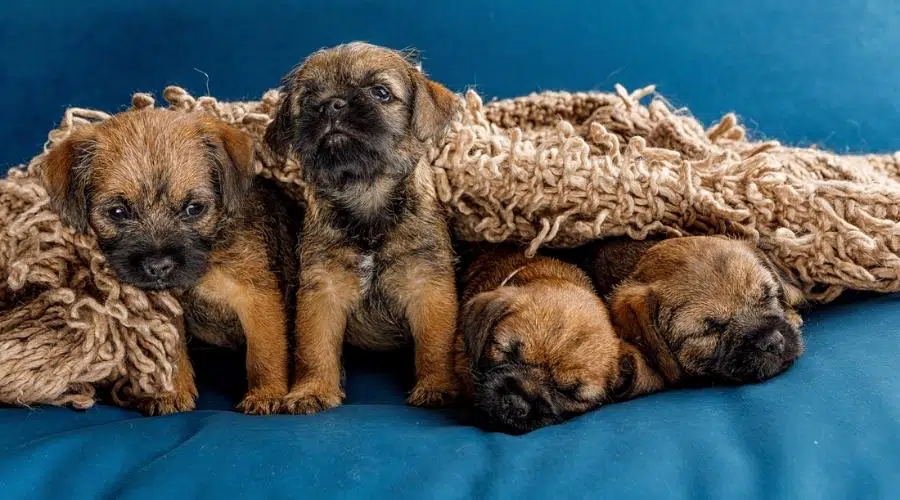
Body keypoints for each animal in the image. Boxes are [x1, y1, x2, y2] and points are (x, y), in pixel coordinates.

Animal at [41, 108, 302, 414]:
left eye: (194, 208)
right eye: (118, 212)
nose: (158, 267)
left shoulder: (256, 298)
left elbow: (265, 352)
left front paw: (266, 394)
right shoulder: (165, 309)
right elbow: (169, 354)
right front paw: (171, 393)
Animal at [260, 43, 458, 412]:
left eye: (380, 92)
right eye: (308, 100)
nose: (331, 104)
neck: (366, 198)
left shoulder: (428, 287)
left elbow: (436, 345)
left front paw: (438, 386)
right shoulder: (323, 293)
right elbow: (314, 348)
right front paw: (313, 390)